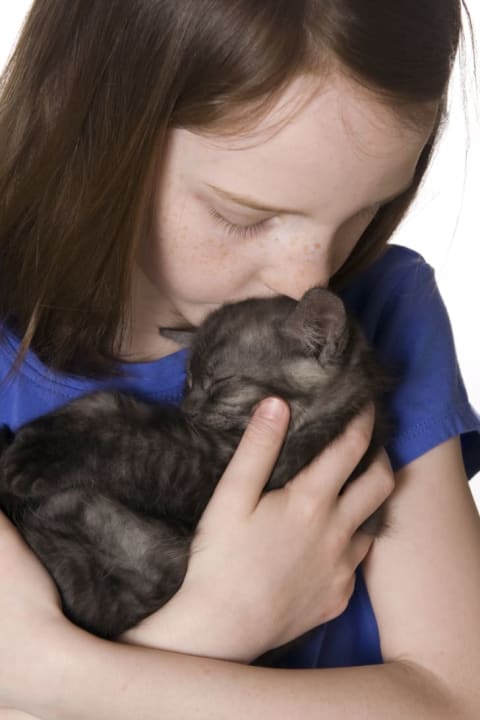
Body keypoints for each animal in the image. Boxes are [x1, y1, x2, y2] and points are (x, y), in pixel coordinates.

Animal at [0, 286, 392, 652]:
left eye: (221, 382)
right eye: (188, 380)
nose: (186, 409)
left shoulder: (210, 470)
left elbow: (135, 442)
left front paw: (42, 452)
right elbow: (112, 406)